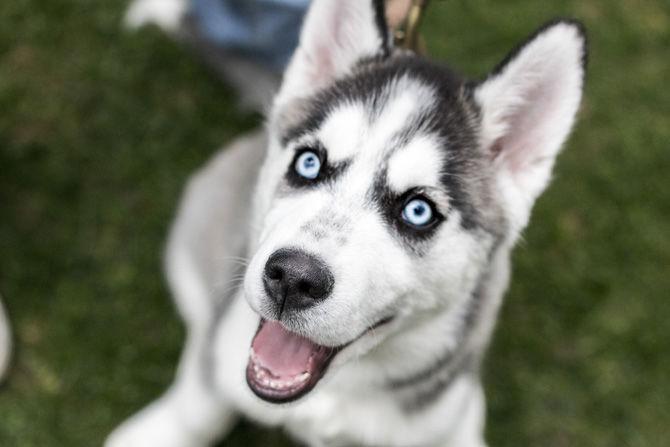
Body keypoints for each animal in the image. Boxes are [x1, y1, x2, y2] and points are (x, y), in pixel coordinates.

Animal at [109, 0, 588, 447]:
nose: (292, 278)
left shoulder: (449, 411)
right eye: (308, 163)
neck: (330, 398)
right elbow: (203, 402)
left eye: (418, 211)